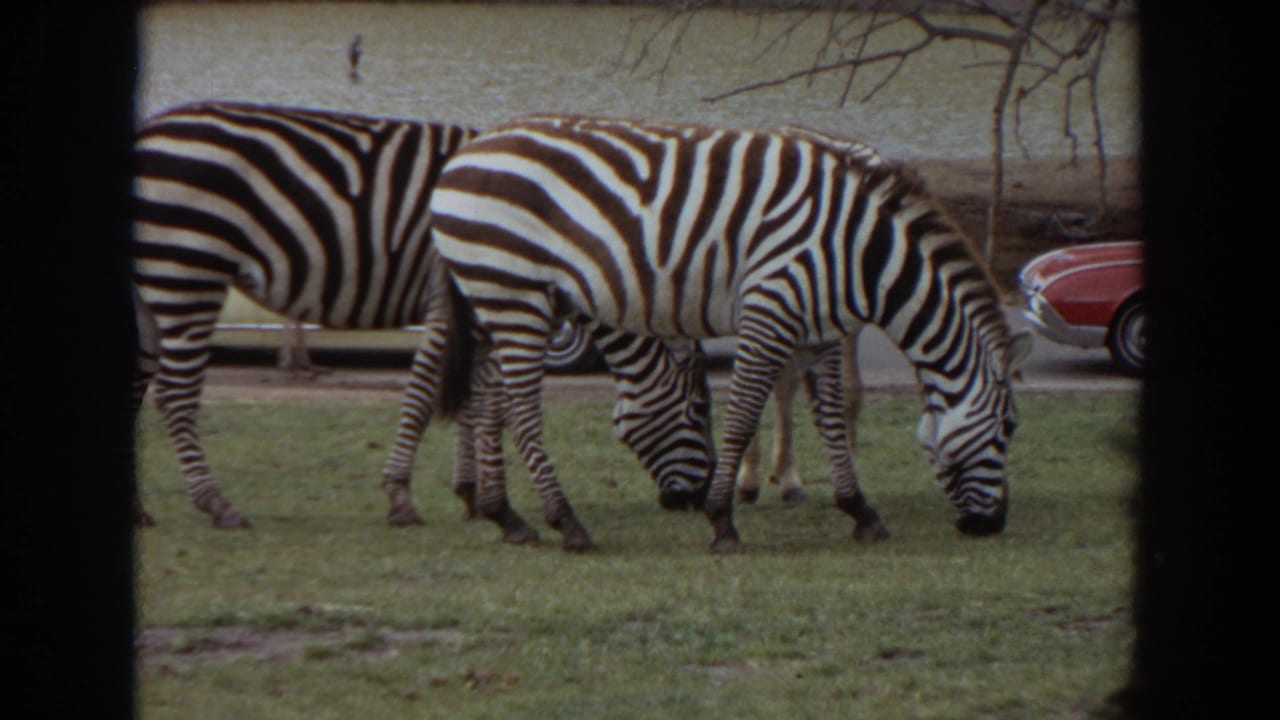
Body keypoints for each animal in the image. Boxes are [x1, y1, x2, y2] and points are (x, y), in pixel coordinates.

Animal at [131, 101, 714, 529]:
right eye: (698, 412)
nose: (698, 500)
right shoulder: (454, 300)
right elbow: (429, 394)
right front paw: (403, 498)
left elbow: (474, 401)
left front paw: (472, 493)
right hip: (188, 271)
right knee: (173, 394)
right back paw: (218, 504)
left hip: (152, 284)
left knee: (137, 386)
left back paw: (140, 512)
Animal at [426, 115, 1033, 553]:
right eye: (1008, 428)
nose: (994, 525)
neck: (866, 252)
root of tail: (462, 157)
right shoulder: (772, 305)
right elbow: (744, 413)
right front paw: (723, 523)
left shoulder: (821, 330)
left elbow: (830, 418)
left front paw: (859, 510)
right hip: (515, 294)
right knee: (523, 409)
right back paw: (567, 524)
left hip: (500, 298)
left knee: (489, 395)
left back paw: (508, 517)